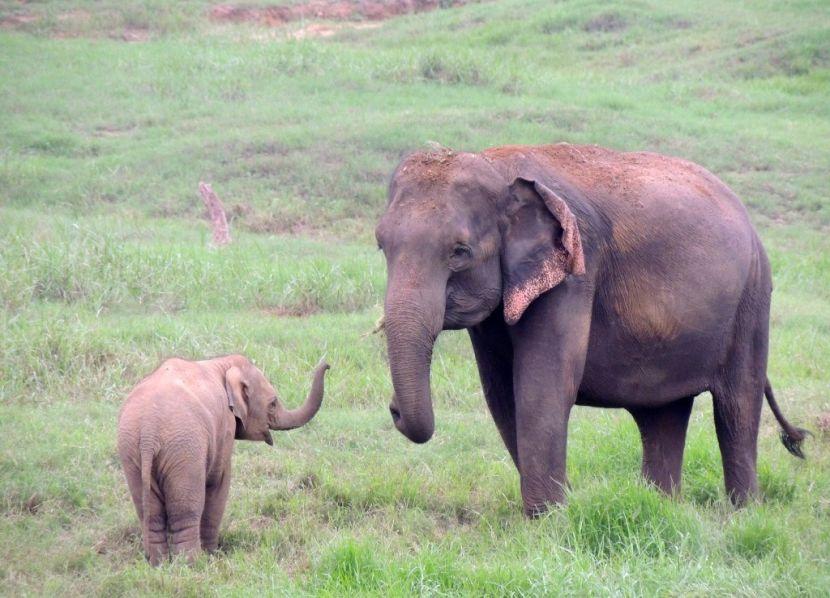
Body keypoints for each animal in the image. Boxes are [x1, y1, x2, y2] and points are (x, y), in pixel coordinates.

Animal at [118, 356, 330, 568]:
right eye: (273, 403)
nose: (327, 364)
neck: (221, 363)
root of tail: (149, 433)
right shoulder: (225, 426)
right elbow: (219, 481)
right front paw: (213, 554)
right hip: (185, 451)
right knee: (185, 510)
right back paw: (191, 564)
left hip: (132, 453)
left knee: (150, 513)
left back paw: (158, 565)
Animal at [378, 144, 812, 516]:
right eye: (381, 245)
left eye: (459, 252)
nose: (394, 408)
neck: (497, 165)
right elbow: (501, 392)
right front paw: (553, 511)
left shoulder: (576, 269)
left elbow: (542, 384)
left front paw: (548, 521)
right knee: (664, 414)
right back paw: (661, 508)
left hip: (752, 299)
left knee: (737, 407)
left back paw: (743, 514)